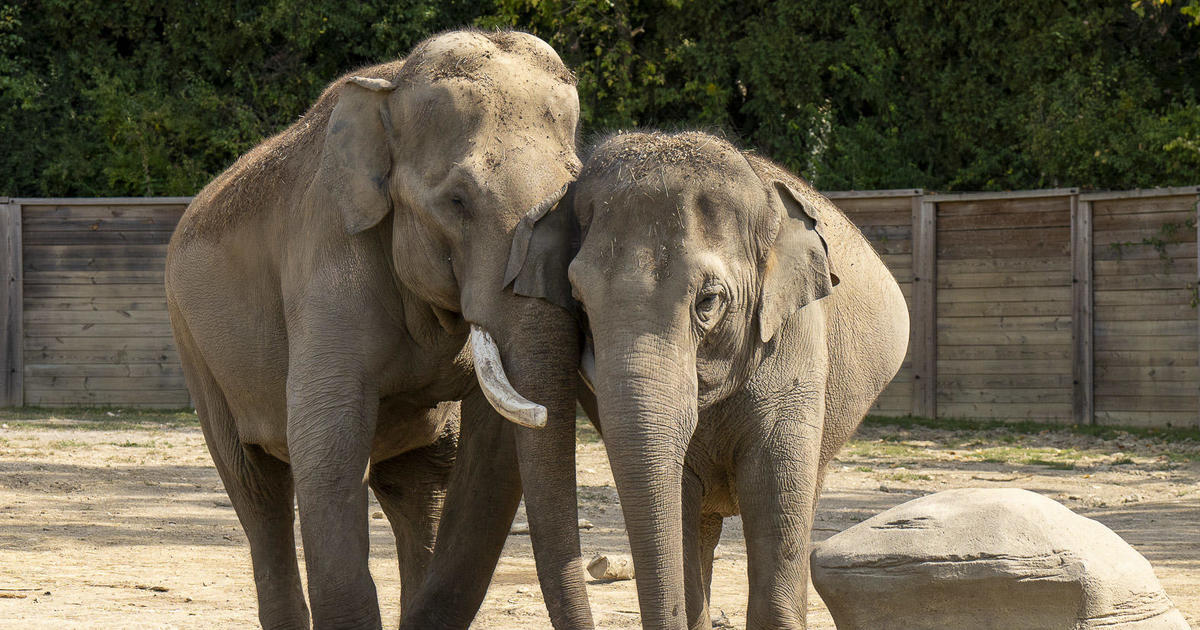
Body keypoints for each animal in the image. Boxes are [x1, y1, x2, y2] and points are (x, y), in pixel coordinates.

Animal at [166, 30, 597, 628]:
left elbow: (491, 452)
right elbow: (329, 443)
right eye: (458, 202)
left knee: (422, 482)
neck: (392, 87)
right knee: (257, 487)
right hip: (194, 347)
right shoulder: (328, 259)